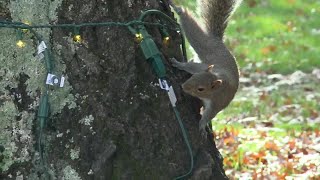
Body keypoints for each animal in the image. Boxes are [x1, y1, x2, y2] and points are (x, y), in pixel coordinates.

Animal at [170, 0, 240, 136]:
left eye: (201, 89)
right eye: (194, 77)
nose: (183, 86)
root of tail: (218, 40)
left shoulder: (217, 104)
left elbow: (209, 115)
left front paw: (203, 125)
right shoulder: (202, 68)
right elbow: (191, 66)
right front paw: (180, 64)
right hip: (205, 46)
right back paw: (177, 8)